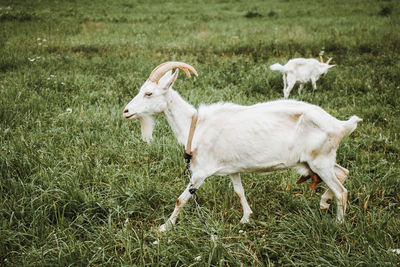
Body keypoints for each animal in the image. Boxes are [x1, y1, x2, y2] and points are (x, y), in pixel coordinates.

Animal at [123, 61, 360, 232]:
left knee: (341, 191)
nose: (126, 111)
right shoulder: (232, 168)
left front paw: (165, 227)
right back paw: (324, 203)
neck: (195, 125)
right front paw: (246, 218)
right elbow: (239, 191)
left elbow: (182, 199)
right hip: (317, 161)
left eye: (149, 93)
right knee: (343, 172)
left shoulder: (200, 172)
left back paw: (338, 224)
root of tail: (340, 125)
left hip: (320, 160)